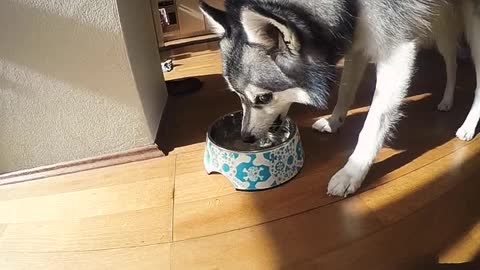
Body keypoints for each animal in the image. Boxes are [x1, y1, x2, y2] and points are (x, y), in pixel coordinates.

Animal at [201, 1, 480, 197]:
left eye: (263, 97)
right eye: (237, 95)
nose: (246, 137)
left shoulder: (397, 53)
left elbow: (373, 124)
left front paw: (353, 171)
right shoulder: (358, 42)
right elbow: (346, 90)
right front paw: (334, 122)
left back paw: (468, 125)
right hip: (440, 22)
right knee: (451, 60)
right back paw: (447, 100)